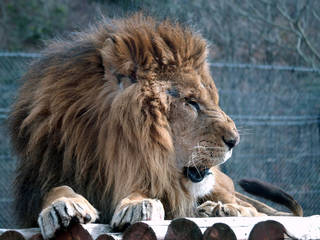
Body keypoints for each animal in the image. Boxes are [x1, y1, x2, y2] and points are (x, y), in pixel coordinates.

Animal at [8, 14, 302, 238]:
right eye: (191, 102)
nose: (235, 141)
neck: (105, 157)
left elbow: (145, 189)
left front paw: (138, 205)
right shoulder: (38, 182)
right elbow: (54, 191)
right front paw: (63, 206)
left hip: (221, 186)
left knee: (252, 209)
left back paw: (223, 210)